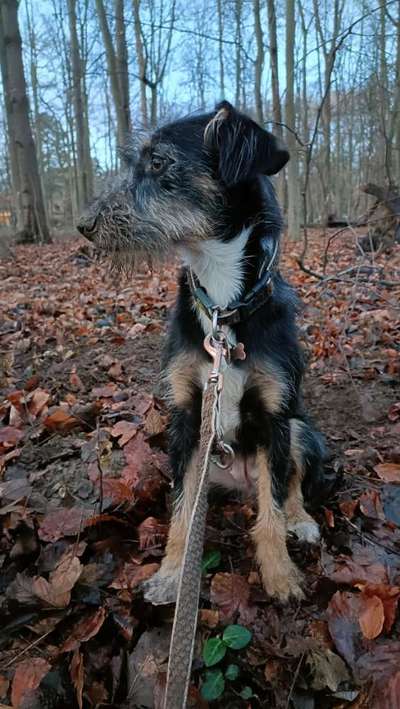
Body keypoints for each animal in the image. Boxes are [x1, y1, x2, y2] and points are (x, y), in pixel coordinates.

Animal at [77, 101, 324, 604]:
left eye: (158, 162)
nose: (84, 226)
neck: (224, 307)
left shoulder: (275, 416)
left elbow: (272, 509)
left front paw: (280, 576)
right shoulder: (187, 420)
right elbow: (182, 510)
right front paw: (173, 574)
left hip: (300, 430)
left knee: (287, 484)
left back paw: (301, 520)